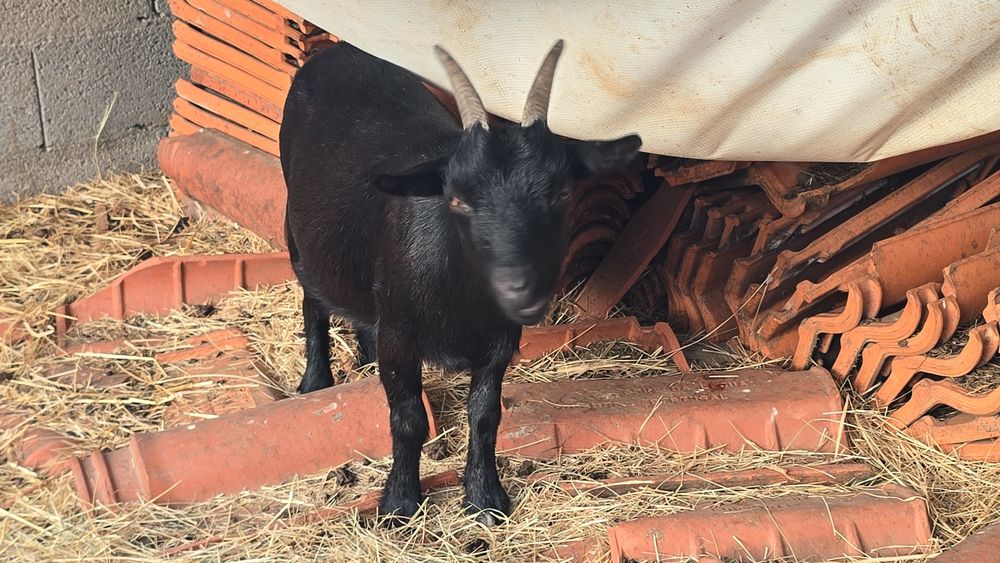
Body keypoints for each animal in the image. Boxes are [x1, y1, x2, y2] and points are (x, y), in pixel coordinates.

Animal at [279, 40, 641, 524]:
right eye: (457, 199)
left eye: (563, 193)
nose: (521, 290)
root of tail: (334, 51)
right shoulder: (401, 337)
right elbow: (408, 419)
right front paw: (400, 502)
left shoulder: (499, 344)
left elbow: (485, 417)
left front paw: (485, 498)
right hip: (298, 228)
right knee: (312, 297)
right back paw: (315, 380)